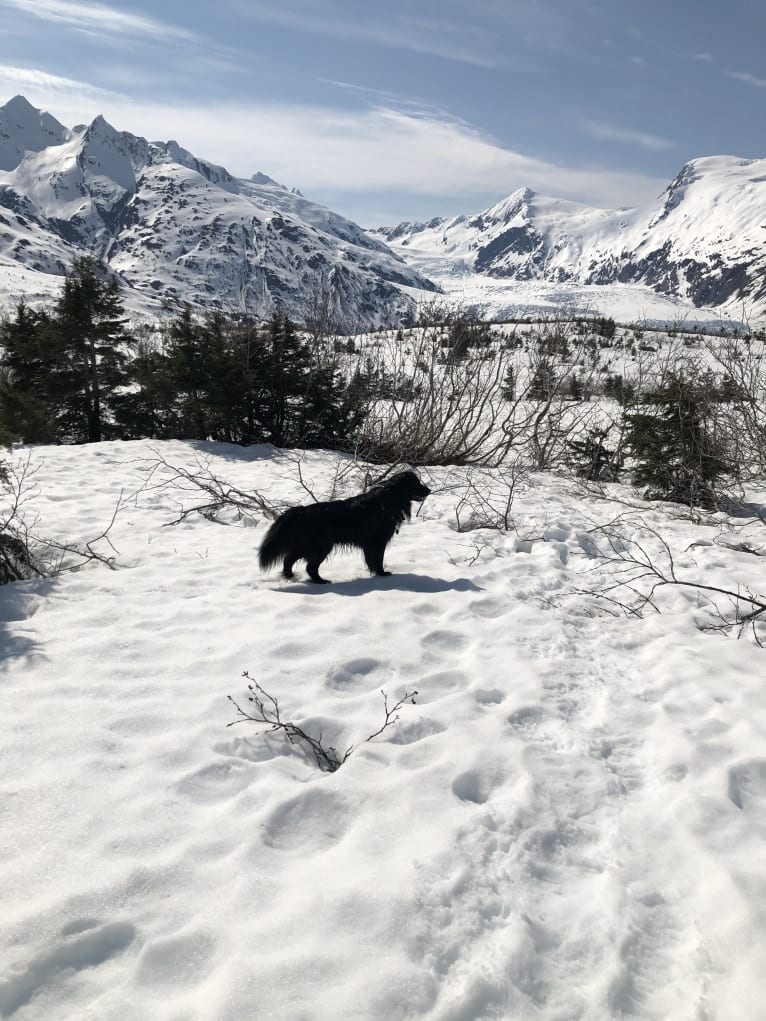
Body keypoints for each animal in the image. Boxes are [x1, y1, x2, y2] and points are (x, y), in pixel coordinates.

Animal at [259, 469, 433, 584]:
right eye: (416, 483)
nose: (429, 490)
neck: (388, 499)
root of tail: (301, 510)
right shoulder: (378, 541)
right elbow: (377, 560)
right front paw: (382, 573)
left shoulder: (370, 543)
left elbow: (372, 560)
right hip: (321, 547)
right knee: (309, 566)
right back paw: (320, 581)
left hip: (306, 545)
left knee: (289, 559)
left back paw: (290, 577)